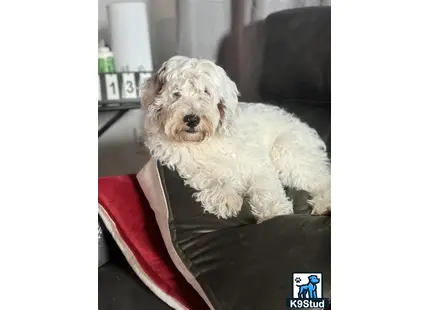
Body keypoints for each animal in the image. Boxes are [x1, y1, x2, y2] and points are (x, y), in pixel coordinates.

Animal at [139, 55, 330, 223]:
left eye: (206, 92)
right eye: (176, 93)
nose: (192, 119)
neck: (206, 142)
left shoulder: (257, 165)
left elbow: (266, 186)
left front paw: (274, 212)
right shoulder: (186, 164)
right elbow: (208, 177)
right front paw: (226, 197)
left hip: (287, 152)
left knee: (322, 179)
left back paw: (325, 204)